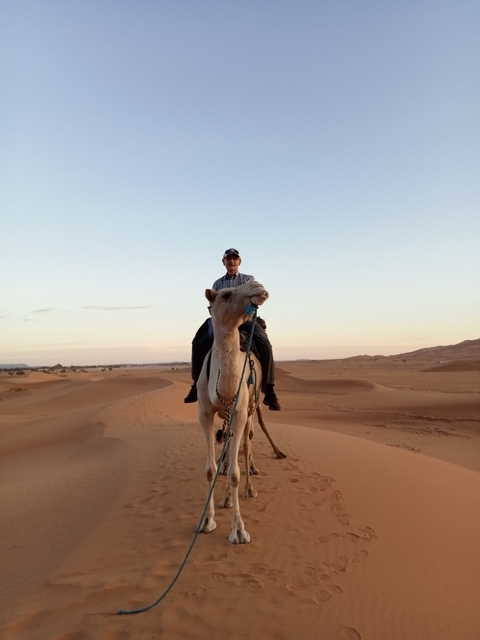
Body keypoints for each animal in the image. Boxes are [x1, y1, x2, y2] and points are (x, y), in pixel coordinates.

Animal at [196, 279, 283, 544]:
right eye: (225, 294)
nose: (258, 286)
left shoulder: (241, 412)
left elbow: (235, 471)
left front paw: (238, 530)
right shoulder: (204, 414)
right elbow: (210, 470)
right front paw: (207, 520)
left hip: (252, 408)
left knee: (246, 443)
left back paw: (250, 486)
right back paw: (225, 497)